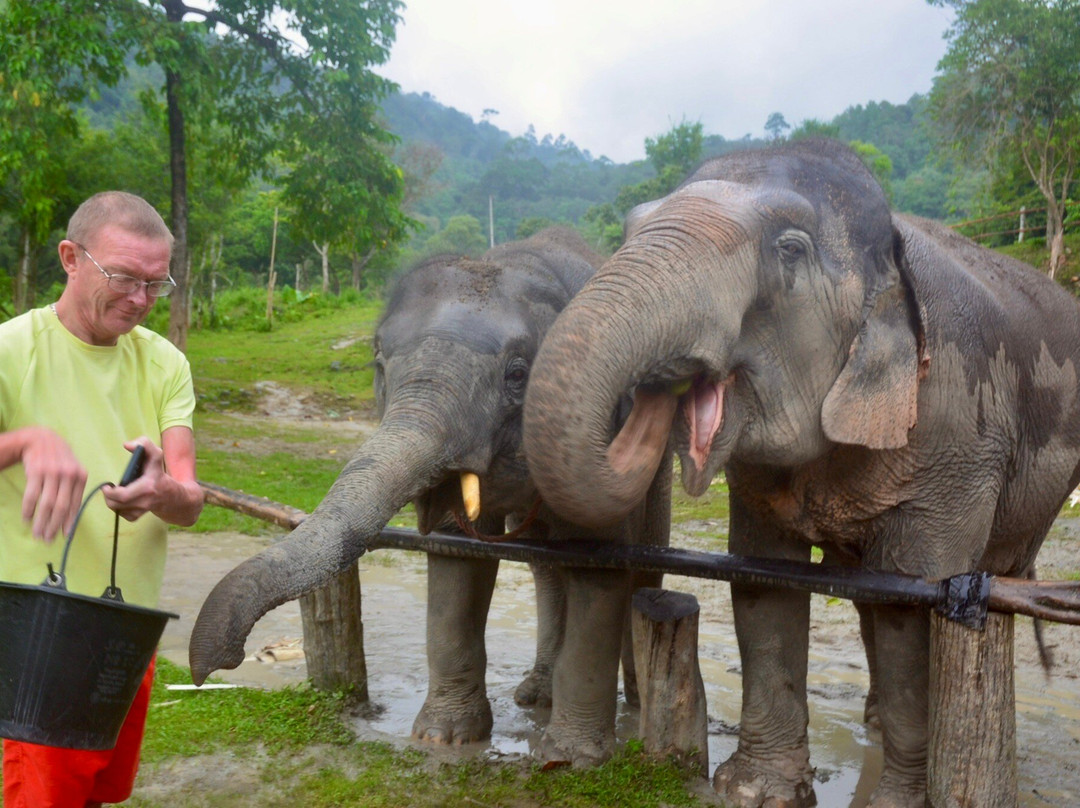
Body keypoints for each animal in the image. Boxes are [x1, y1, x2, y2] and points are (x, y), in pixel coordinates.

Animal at [188, 226, 671, 766]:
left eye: (518, 375)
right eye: (379, 364)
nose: (221, 662)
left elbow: (599, 560)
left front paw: (573, 759)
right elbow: (456, 558)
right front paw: (444, 738)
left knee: (640, 557)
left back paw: (634, 703)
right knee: (546, 568)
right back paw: (535, 695)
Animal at [522, 139, 1080, 807]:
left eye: (789, 249)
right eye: (631, 229)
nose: (659, 384)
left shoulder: (958, 434)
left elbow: (912, 606)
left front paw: (895, 802)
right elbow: (765, 585)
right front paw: (755, 790)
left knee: (979, 577)